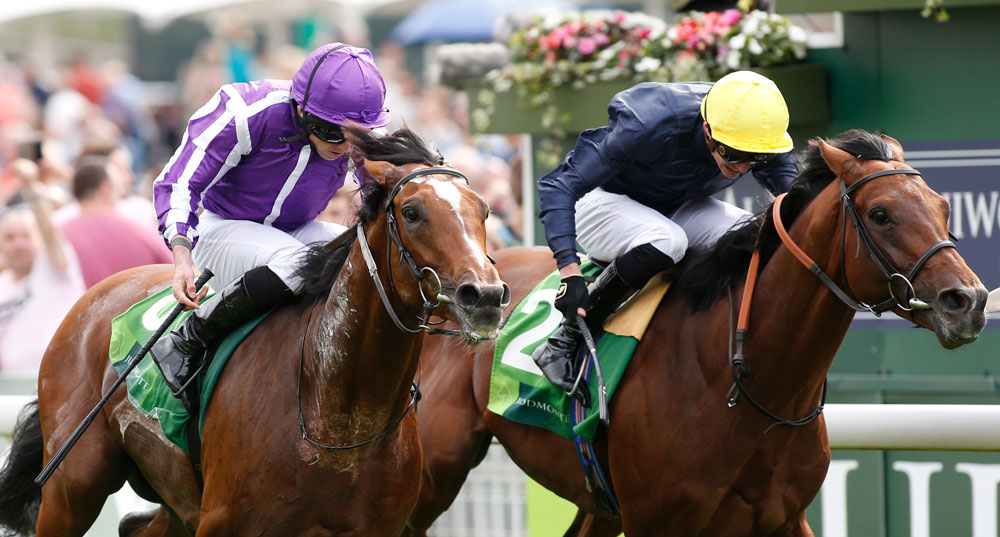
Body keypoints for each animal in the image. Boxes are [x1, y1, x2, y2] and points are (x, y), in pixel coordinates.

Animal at [0, 126, 512, 536]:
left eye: (485, 211)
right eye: (412, 212)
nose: (484, 296)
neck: (337, 414)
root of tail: (94, 296)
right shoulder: (224, 521)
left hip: (170, 498)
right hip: (72, 486)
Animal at [402, 131, 988, 536]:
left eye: (943, 207)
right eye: (881, 213)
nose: (969, 301)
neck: (748, 393)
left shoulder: (785, 516)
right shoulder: (656, 521)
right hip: (434, 470)